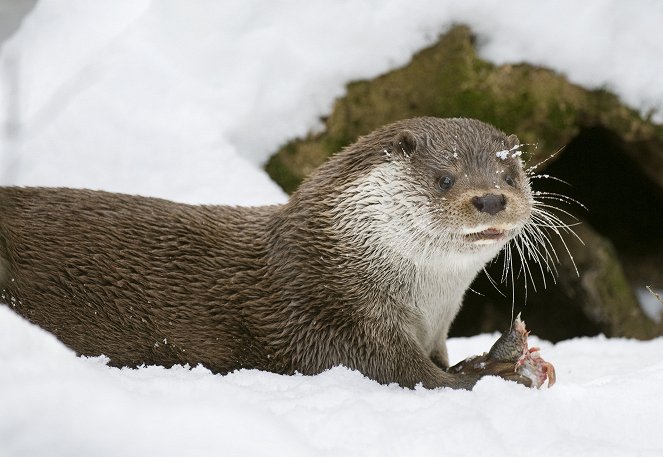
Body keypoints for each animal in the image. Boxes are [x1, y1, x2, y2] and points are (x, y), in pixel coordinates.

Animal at [0, 117, 536, 388]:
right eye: (444, 178)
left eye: (511, 175)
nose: (491, 198)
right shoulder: (329, 320)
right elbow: (416, 377)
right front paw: (496, 370)